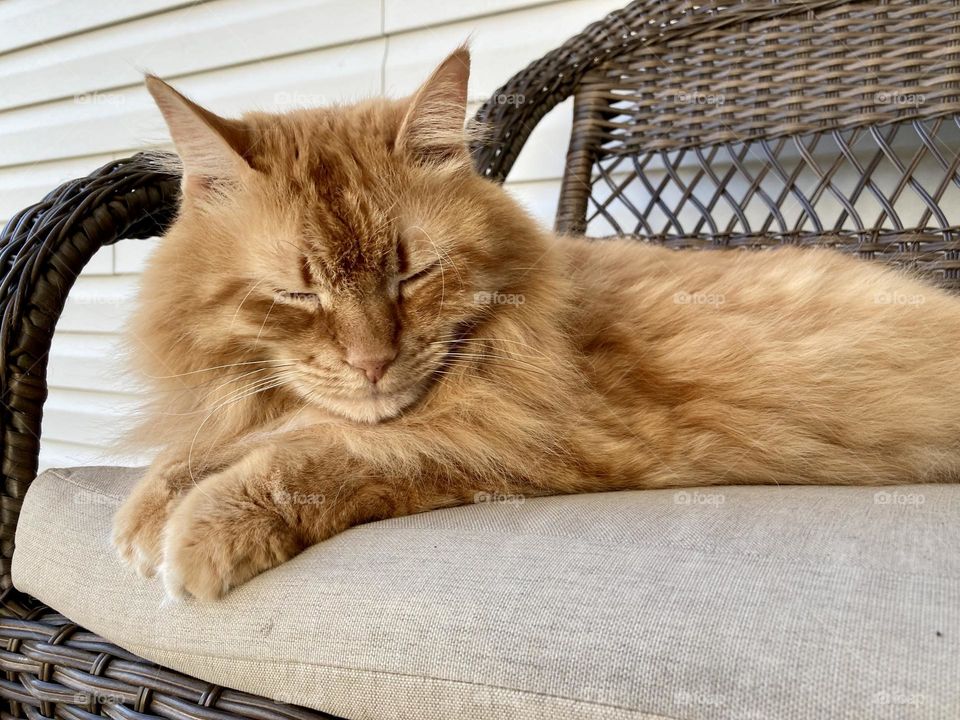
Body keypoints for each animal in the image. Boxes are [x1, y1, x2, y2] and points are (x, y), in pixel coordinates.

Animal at [114, 50, 960, 600]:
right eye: (297, 294)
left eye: (412, 274)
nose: (372, 362)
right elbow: (217, 445)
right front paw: (148, 508)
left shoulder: (518, 440)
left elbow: (325, 453)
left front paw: (197, 533)